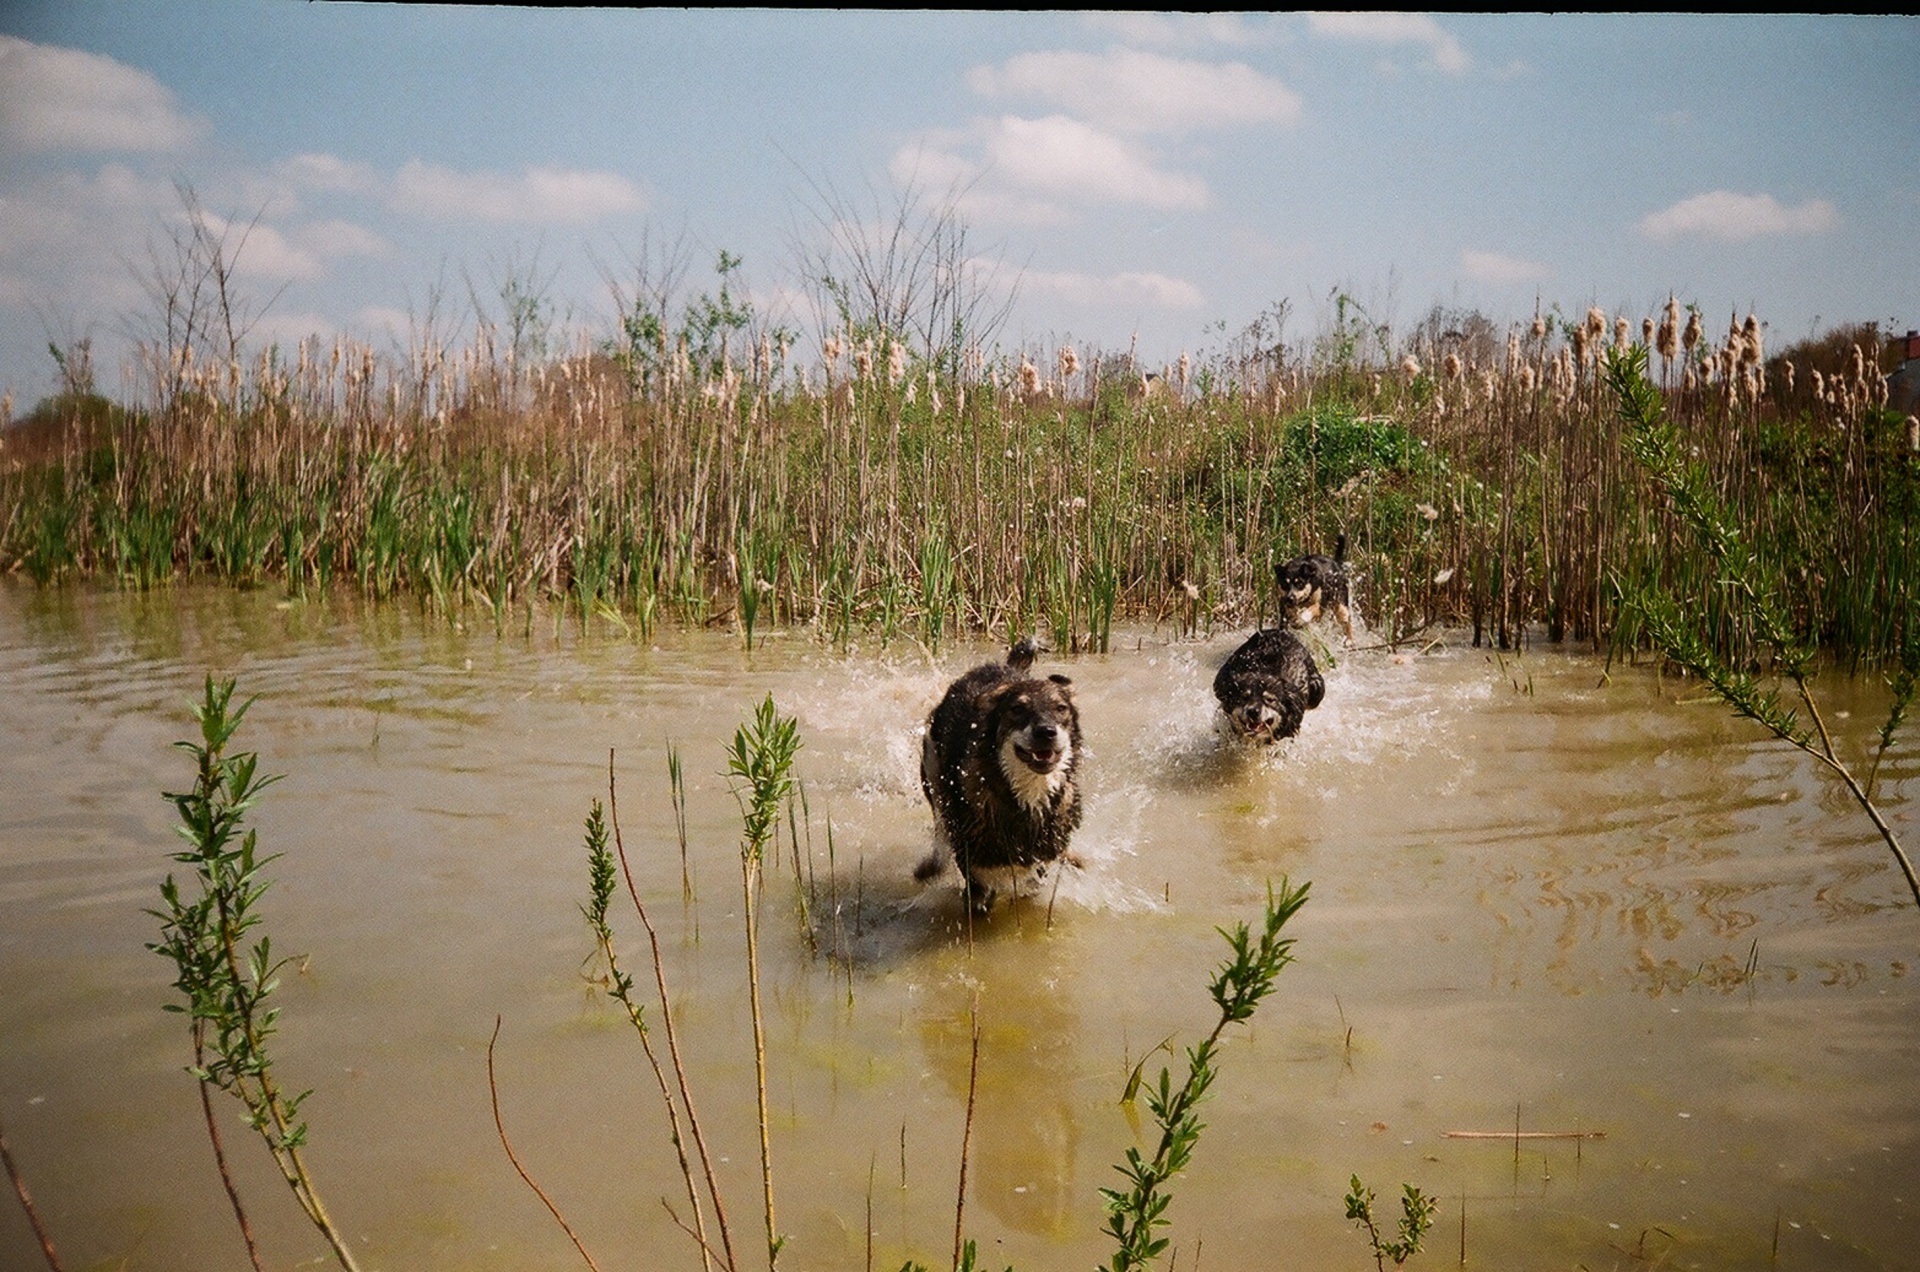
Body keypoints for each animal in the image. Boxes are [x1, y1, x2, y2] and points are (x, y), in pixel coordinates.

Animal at [921, 641, 1090, 910]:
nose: (1046, 732)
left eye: (1060, 708)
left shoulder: (1040, 858)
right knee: (940, 822)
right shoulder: (976, 868)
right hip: (932, 767)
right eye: (1017, 709)